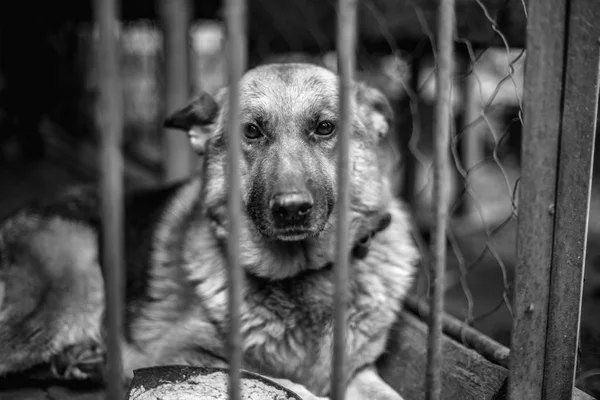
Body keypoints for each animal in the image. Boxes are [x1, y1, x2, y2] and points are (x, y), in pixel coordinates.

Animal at [0, 64, 420, 398]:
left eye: (325, 127)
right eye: (251, 132)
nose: (291, 209)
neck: (302, 277)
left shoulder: (359, 373)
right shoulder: (175, 353)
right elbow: (283, 383)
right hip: (74, 279)